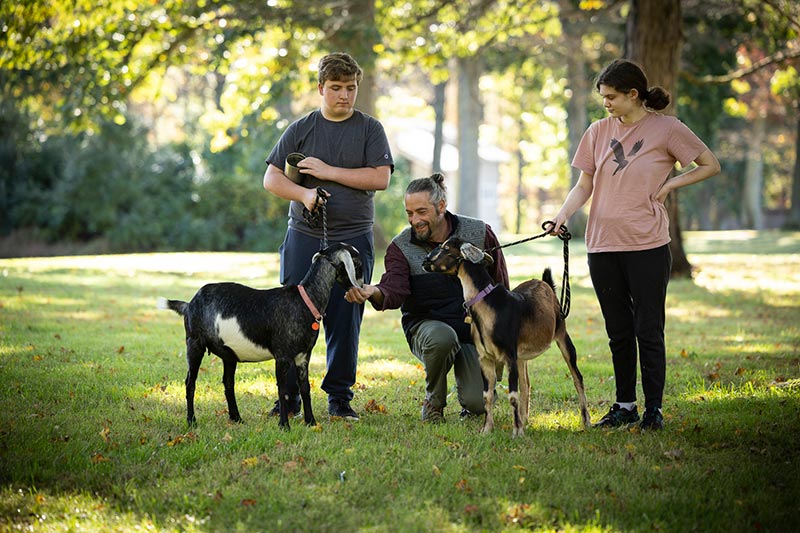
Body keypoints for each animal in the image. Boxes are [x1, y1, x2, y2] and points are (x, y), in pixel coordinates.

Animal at [157, 241, 362, 428]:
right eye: (358, 263)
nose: (362, 286)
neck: (305, 300)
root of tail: (189, 304)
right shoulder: (282, 356)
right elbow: (283, 390)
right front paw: (284, 425)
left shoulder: (303, 356)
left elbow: (305, 388)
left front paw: (311, 422)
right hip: (194, 344)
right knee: (190, 383)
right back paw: (192, 421)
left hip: (228, 355)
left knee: (228, 383)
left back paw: (236, 418)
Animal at [424, 238, 588, 436]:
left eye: (445, 248)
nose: (425, 261)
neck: (487, 305)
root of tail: (545, 283)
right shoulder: (485, 358)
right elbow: (486, 396)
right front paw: (487, 430)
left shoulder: (509, 355)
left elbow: (512, 395)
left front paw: (517, 433)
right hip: (522, 355)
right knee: (526, 384)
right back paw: (525, 421)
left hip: (562, 335)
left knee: (577, 378)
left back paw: (586, 421)